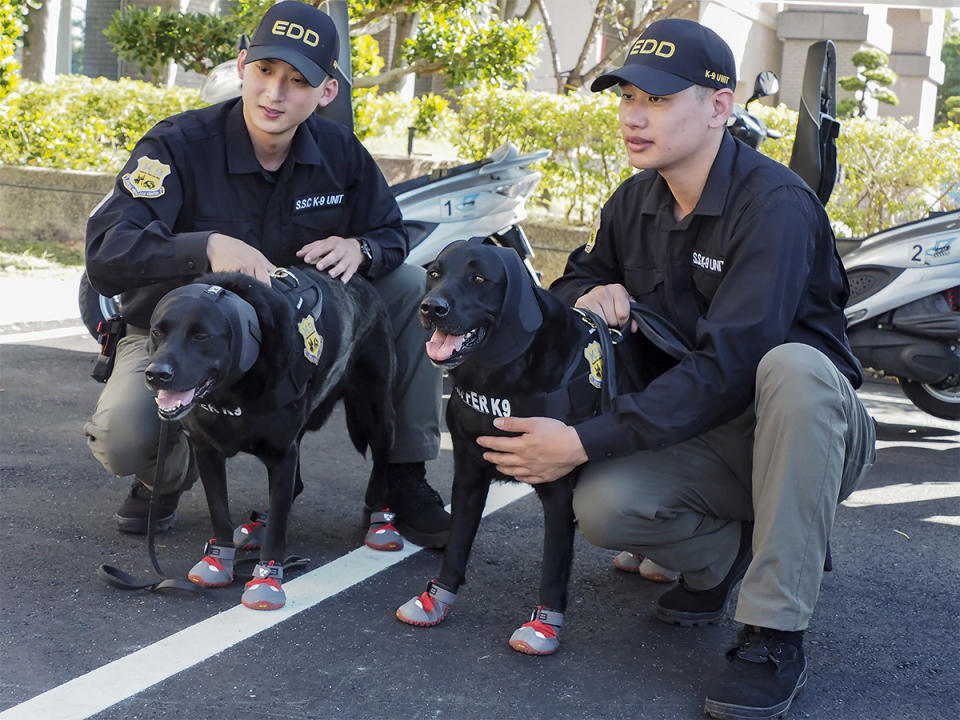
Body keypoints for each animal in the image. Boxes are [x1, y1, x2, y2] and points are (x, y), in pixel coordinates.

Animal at [143, 268, 398, 612]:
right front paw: (219, 561)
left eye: (201, 336)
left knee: (384, 460)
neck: (234, 392)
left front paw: (267, 578)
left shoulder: (281, 456)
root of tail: (360, 280)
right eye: (158, 332)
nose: (156, 374)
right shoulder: (207, 451)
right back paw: (257, 525)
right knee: (296, 485)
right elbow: (219, 511)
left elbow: (278, 525)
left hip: (376, 412)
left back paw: (381, 521)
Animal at [396, 239, 652, 656]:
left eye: (479, 278)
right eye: (434, 274)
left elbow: (553, 563)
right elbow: (457, 543)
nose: (432, 308)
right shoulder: (468, 473)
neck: (497, 378)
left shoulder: (560, 489)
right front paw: (437, 598)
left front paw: (545, 625)